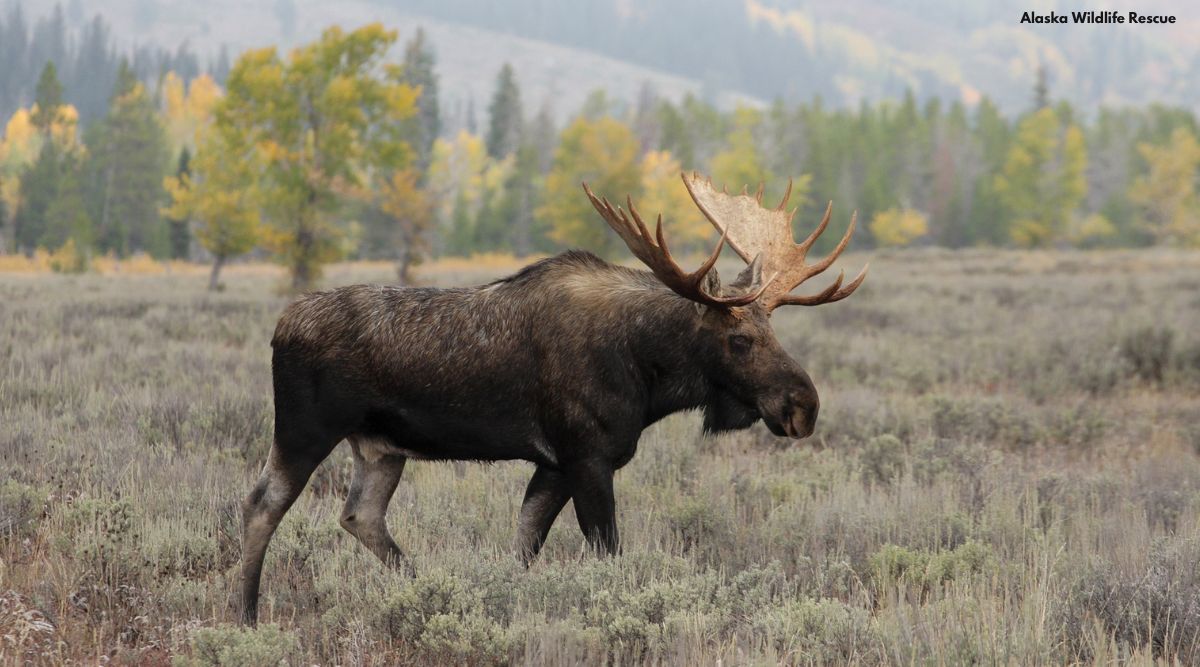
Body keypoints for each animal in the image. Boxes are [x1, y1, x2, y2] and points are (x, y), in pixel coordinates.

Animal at [239, 172, 868, 625]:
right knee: (262, 504)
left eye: (772, 328)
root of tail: (280, 326)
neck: (648, 373)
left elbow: (525, 544)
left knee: (360, 515)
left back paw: (420, 585)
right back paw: (244, 614)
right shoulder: (586, 455)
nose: (803, 405)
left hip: (380, 447)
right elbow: (606, 551)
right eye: (739, 339)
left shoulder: (554, 463)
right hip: (304, 428)